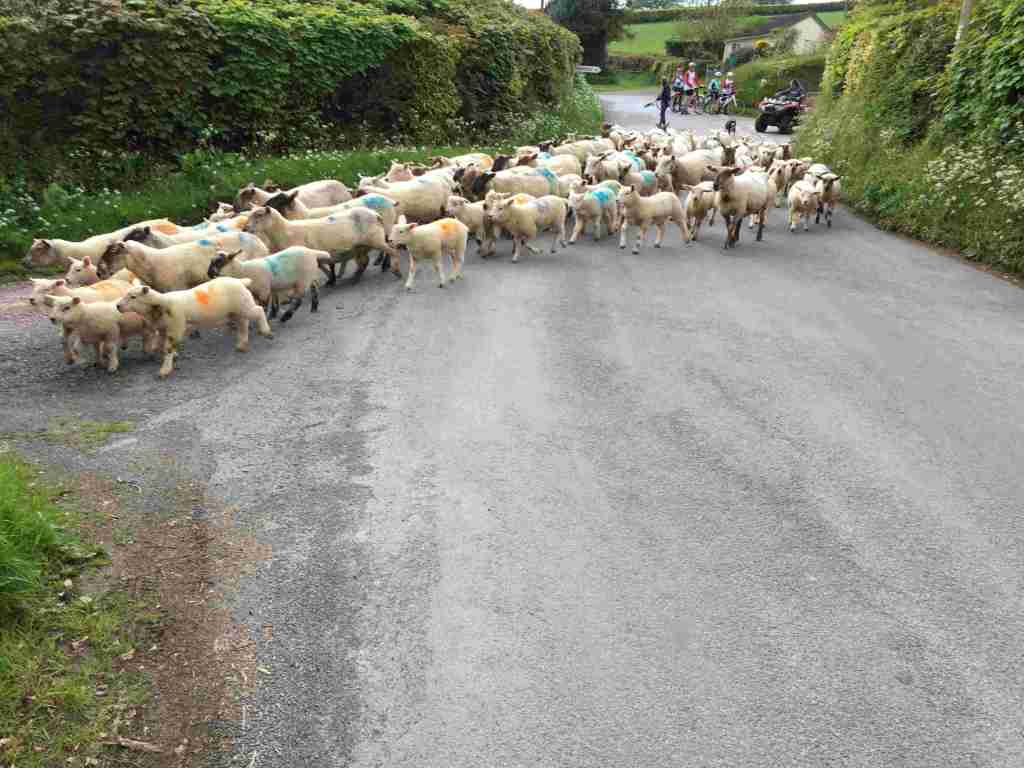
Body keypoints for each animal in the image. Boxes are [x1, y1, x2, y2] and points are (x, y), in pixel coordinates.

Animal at [116, 278, 272, 378]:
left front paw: (165, 370)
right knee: (243, 324)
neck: (160, 304)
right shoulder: (163, 328)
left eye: (133, 297)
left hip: (243, 305)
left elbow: (168, 348)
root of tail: (241, 281)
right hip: (235, 312)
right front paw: (165, 355)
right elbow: (161, 345)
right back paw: (242, 345)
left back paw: (266, 331)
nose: (117, 306)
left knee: (259, 310)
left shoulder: (176, 326)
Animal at [243, 205, 396, 286]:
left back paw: (388, 266)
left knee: (389, 249)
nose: (245, 228)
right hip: (361, 246)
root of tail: (375, 214)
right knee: (365, 261)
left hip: (375, 239)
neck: (286, 231)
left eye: (259, 215)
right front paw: (331, 280)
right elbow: (322, 266)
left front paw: (331, 279)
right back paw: (356, 277)